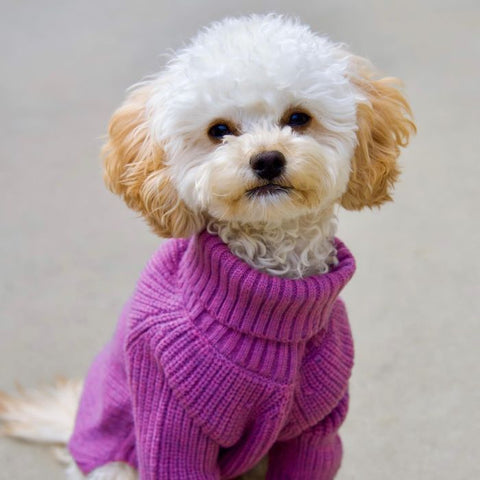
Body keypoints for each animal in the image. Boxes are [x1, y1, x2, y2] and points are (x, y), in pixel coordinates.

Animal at [0, 13, 414, 478]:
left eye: (298, 118)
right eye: (219, 130)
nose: (267, 159)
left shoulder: (316, 431)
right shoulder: (170, 417)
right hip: (117, 463)